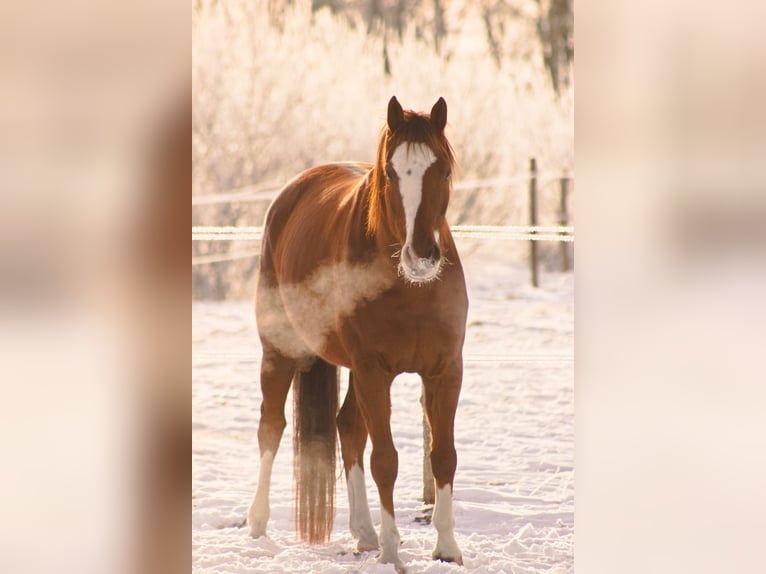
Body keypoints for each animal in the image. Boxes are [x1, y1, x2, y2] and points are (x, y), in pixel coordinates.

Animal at [247, 96, 468, 572]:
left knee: (347, 427)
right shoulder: (373, 371)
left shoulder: (444, 371)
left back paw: (363, 532)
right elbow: (385, 459)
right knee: (271, 426)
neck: (409, 289)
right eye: (391, 173)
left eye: (443, 171)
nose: (421, 257)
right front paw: (392, 549)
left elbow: (443, 455)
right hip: (280, 350)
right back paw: (257, 522)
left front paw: (446, 548)